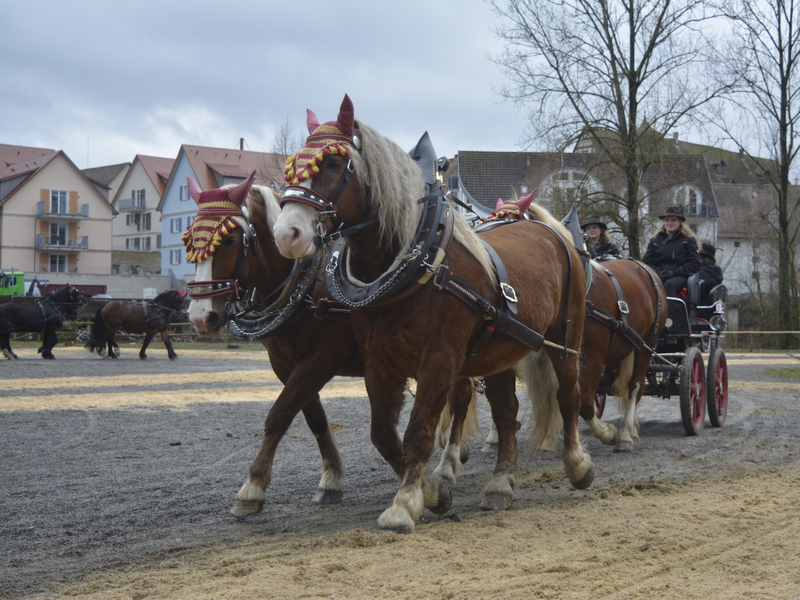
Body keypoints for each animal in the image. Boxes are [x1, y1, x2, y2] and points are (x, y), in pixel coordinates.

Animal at [184, 176, 478, 516]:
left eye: (230, 240)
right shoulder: (287, 366)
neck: (307, 286)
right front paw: (331, 479)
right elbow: (314, 418)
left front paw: (252, 486)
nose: (201, 316)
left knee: (461, 398)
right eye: (188, 242)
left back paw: (449, 463)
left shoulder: (322, 359)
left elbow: (279, 414)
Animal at [274, 96, 592, 532]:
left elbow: (420, 431)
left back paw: (577, 464)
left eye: (335, 164)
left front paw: (405, 503)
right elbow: (384, 435)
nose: (285, 234)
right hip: (498, 352)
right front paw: (433, 493)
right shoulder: (380, 362)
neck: (418, 264)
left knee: (569, 394)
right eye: (291, 165)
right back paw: (500, 485)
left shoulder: (439, 360)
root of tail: (553, 234)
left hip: (565, 339)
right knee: (506, 414)